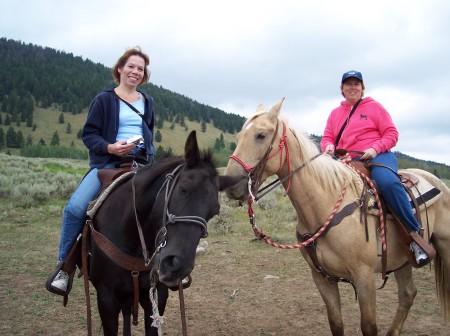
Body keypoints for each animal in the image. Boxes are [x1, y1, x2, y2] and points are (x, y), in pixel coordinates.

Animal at [223, 100, 448, 336]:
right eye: (239, 136)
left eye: (261, 135)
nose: (230, 183)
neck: (324, 205)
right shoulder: (322, 278)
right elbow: (336, 323)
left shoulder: (364, 278)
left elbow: (369, 327)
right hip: (402, 260)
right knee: (407, 294)